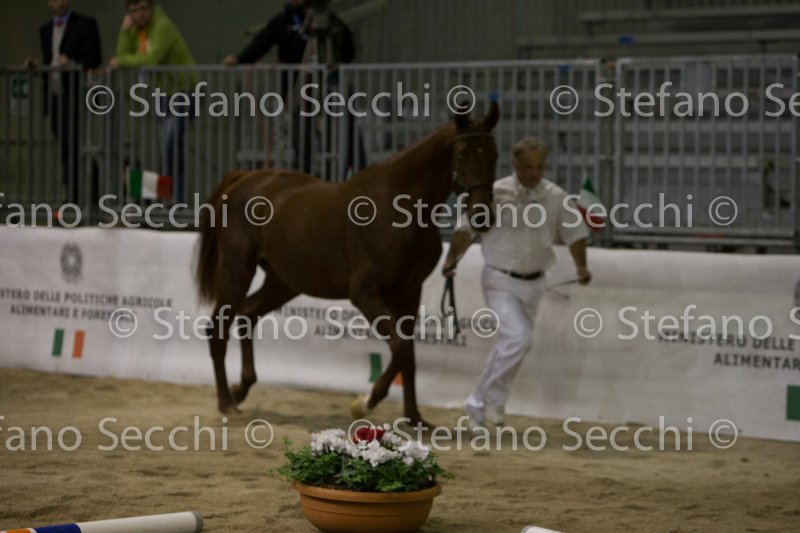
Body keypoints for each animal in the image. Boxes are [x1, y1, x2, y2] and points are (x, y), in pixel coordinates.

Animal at [194, 102, 499, 425]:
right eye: (461, 154)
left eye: (494, 154)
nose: (482, 216)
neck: (398, 206)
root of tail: (245, 179)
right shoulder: (365, 294)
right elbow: (401, 347)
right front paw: (366, 402)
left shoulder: (408, 291)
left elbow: (408, 354)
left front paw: (414, 418)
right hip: (237, 271)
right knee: (218, 328)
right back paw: (227, 402)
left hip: (283, 283)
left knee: (247, 316)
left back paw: (241, 388)